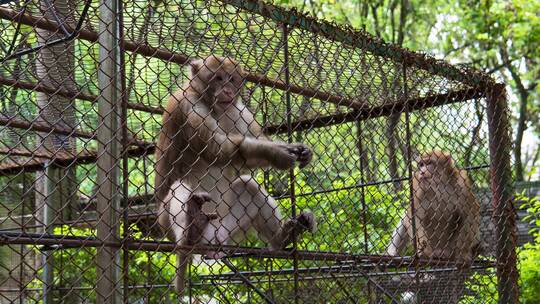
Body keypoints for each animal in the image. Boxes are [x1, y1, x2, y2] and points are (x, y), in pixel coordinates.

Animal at [154, 55, 316, 294]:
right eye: (218, 78)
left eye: (232, 79)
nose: (228, 90)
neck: (214, 107)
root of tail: (212, 242)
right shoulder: (187, 104)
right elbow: (216, 149)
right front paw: (275, 153)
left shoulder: (238, 110)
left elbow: (248, 157)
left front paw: (297, 149)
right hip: (166, 223)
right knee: (179, 187)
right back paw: (192, 230)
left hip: (229, 228)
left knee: (249, 185)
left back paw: (284, 237)